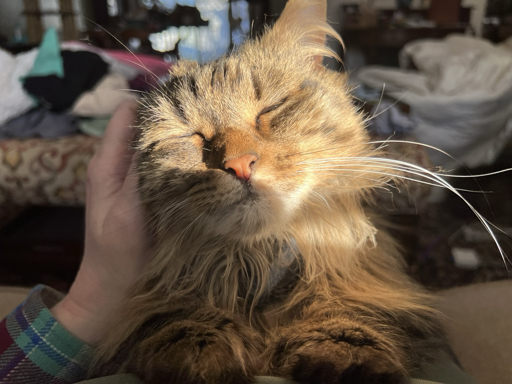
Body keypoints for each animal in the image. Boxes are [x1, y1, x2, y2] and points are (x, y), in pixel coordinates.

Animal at [95, 0, 448, 382]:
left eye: (271, 109)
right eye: (190, 136)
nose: (239, 165)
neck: (261, 259)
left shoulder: (366, 278)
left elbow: (347, 307)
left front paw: (343, 352)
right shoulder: (159, 292)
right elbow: (173, 312)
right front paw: (198, 346)